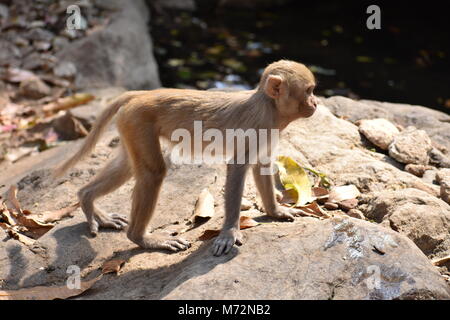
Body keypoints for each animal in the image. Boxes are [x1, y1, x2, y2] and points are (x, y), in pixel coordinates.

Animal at [54, 60, 318, 256]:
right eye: (309, 91)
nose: (315, 102)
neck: (269, 107)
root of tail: (140, 96)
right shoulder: (256, 126)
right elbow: (237, 169)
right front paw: (229, 233)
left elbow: (261, 166)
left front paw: (275, 212)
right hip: (137, 120)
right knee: (153, 172)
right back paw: (141, 238)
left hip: (129, 123)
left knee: (129, 166)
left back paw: (87, 199)